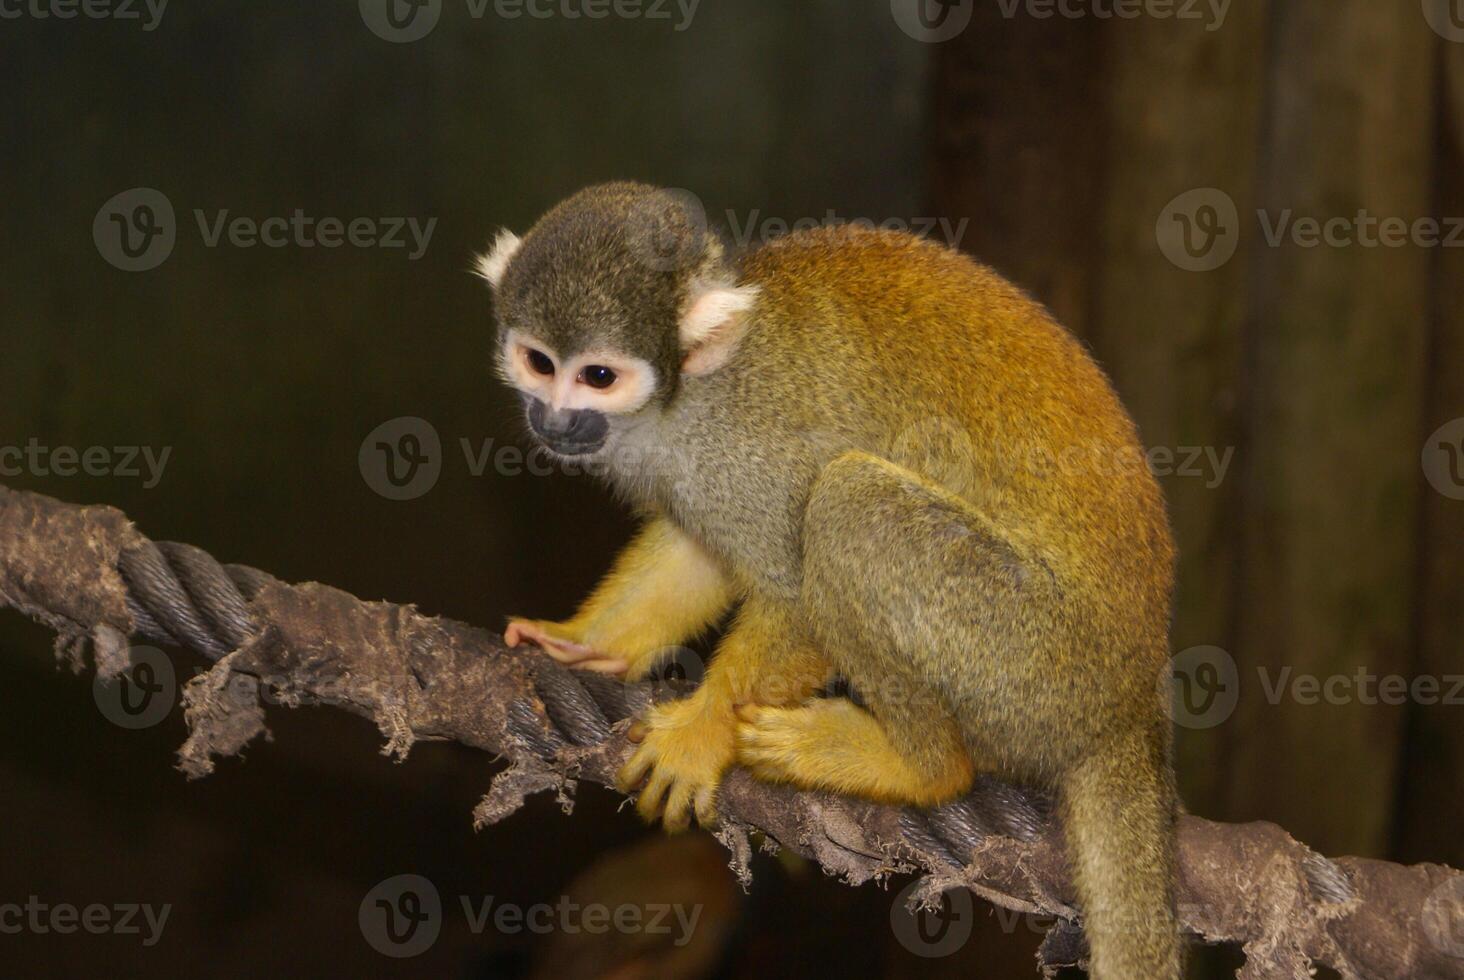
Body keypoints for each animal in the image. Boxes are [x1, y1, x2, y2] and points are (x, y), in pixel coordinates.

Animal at [486, 183, 1182, 978]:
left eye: (597, 377)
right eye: (540, 362)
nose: (552, 418)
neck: (691, 395)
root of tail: (1132, 704)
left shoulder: (748, 442)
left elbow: (791, 582)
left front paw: (702, 728)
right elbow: (697, 551)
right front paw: (586, 642)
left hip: (1037, 661)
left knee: (848, 505)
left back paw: (917, 767)